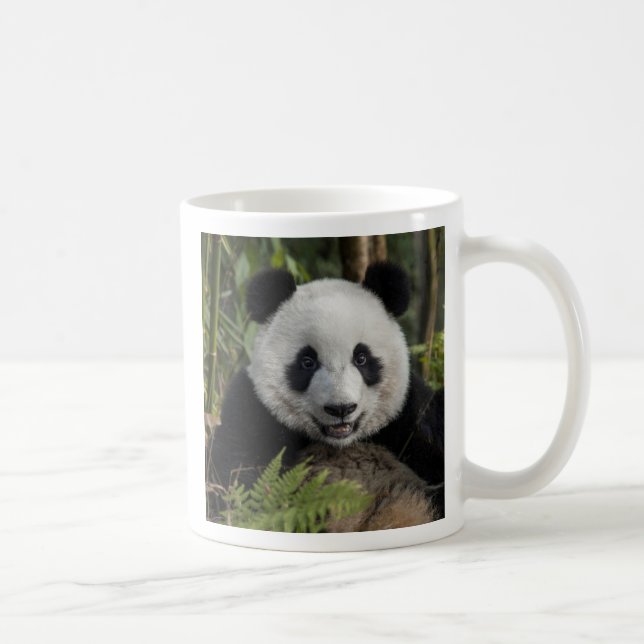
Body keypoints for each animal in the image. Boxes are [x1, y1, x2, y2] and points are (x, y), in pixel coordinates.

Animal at [207, 262, 445, 529]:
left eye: (361, 358)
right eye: (307, 362)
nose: (341, 408)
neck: (340, 442)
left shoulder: (410, 415)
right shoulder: (252, 410)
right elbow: (235, 481)